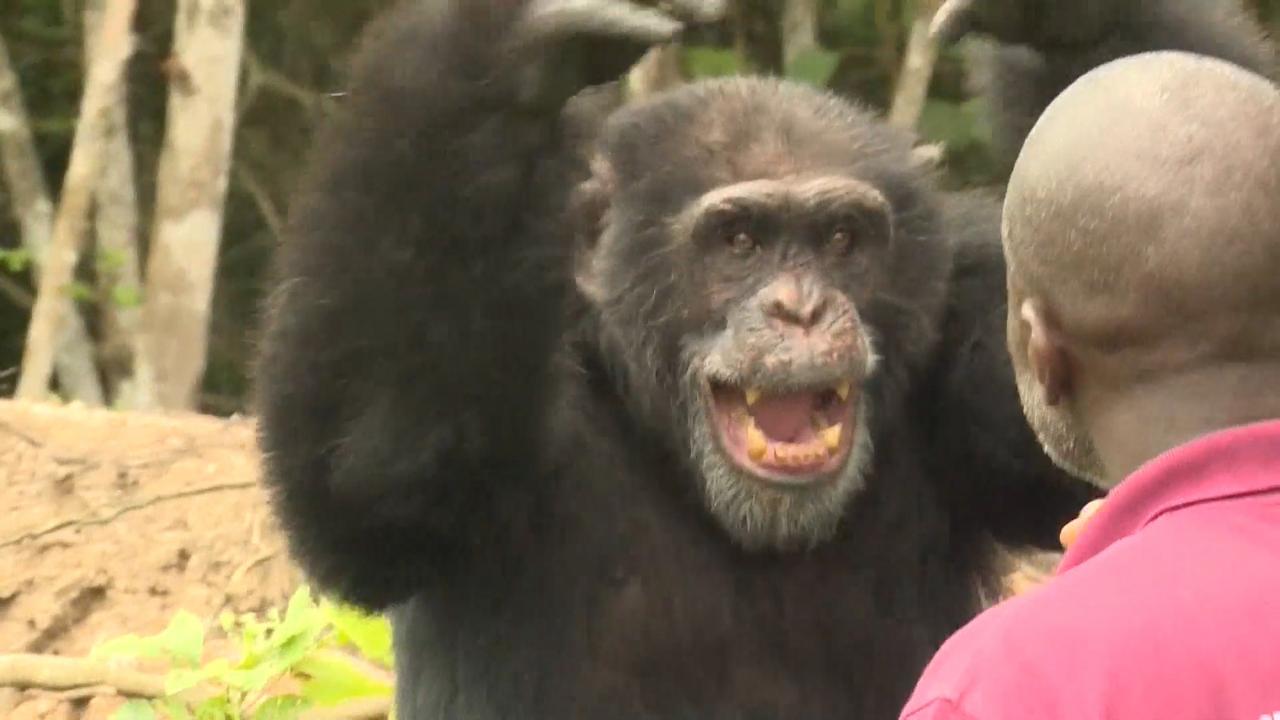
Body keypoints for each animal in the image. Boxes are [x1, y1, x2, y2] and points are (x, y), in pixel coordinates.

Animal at [252, 0, 1280, 712]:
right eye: (740, 240)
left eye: (840, 239)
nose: (799, 306)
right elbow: (368, 467)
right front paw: (507, 52)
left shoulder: (974, 328)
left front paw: (1067, 15)